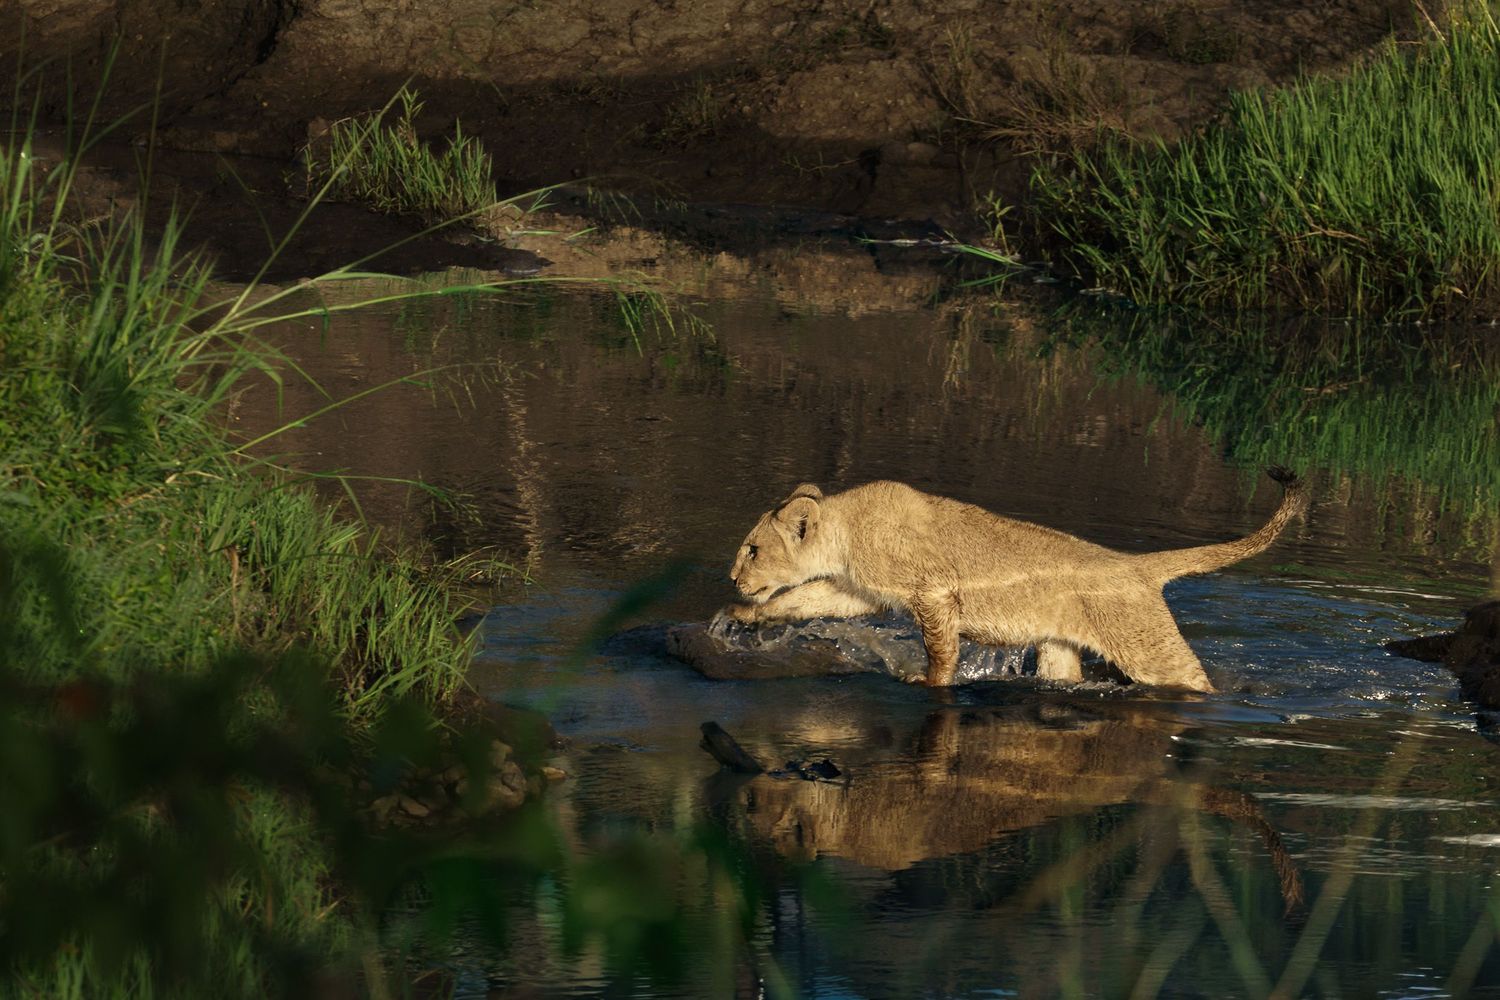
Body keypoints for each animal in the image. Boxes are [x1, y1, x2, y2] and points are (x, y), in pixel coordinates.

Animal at [718, 469, 1307, 691]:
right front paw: (745, 615)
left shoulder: (933, 590)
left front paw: (931, 683)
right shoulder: (858, 591)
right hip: (1058, 650)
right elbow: (805, 598)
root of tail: (1134, 564)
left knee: (1191, 679)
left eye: (752, 549)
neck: (847, 528)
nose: (731, 576)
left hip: (1146, 647)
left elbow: (941, 649)